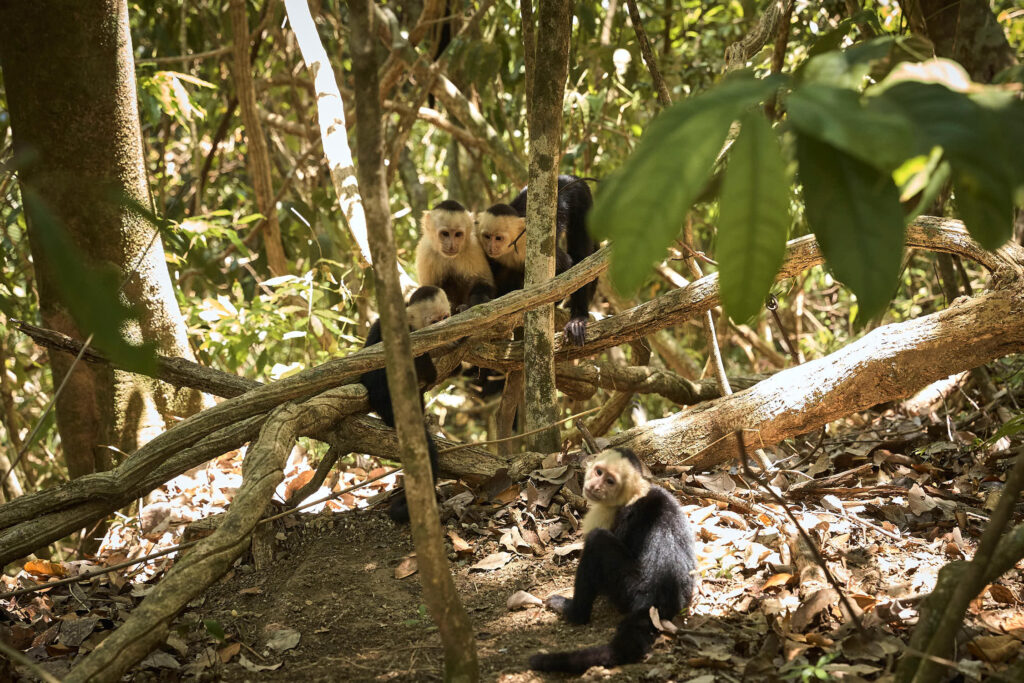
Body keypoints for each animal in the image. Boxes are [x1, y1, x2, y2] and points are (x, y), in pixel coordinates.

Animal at [476, 175, 597, 346]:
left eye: (498, 238)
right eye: (487, 236)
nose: (491, 247)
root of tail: (569, 177)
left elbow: (566, 268)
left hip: (582, 198)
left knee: (581, 258)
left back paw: (578, 318)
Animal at [528, 448, 697, 674]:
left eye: (610, 481)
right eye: (599, 472)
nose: (594, 486)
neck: (635, 493)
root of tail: (654, 603)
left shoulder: (611, 513)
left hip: (630, 589)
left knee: (597, 541)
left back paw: (573, 612)